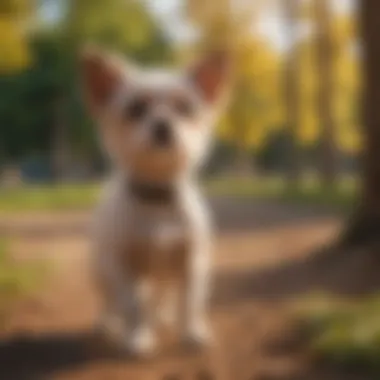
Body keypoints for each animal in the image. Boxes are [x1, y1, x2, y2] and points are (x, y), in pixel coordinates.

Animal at [81, 46, 230, 356]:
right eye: (135, 109)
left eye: (185, 108)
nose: (163, 124)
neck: (157, 199)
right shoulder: (122, 266)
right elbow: (132, 305)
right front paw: (138, 337)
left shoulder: (192, 263)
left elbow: (190, 302)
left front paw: (192, 332)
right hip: (101, 269)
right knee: (111, 300)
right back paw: (109, 323)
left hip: (164, 273)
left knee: (162, 295)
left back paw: (163, 316)